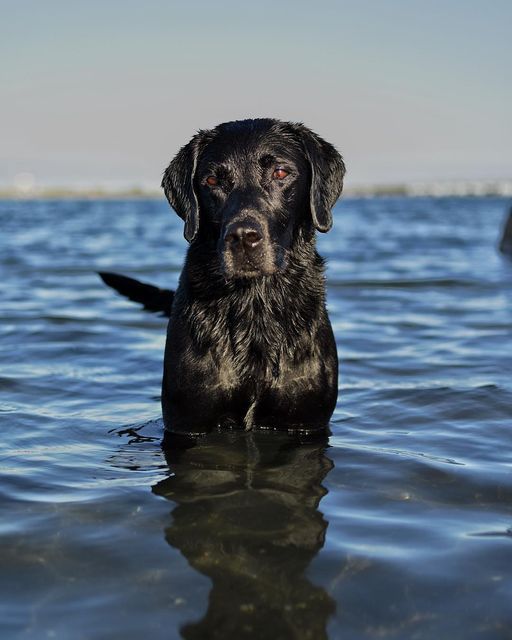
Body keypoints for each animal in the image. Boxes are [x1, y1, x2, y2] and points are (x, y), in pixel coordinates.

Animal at [101, 119, 344, 440]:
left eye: (280, 172)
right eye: (212, 181)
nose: (242, 237)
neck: (254, 304)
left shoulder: (306, 422)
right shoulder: (188, 421)